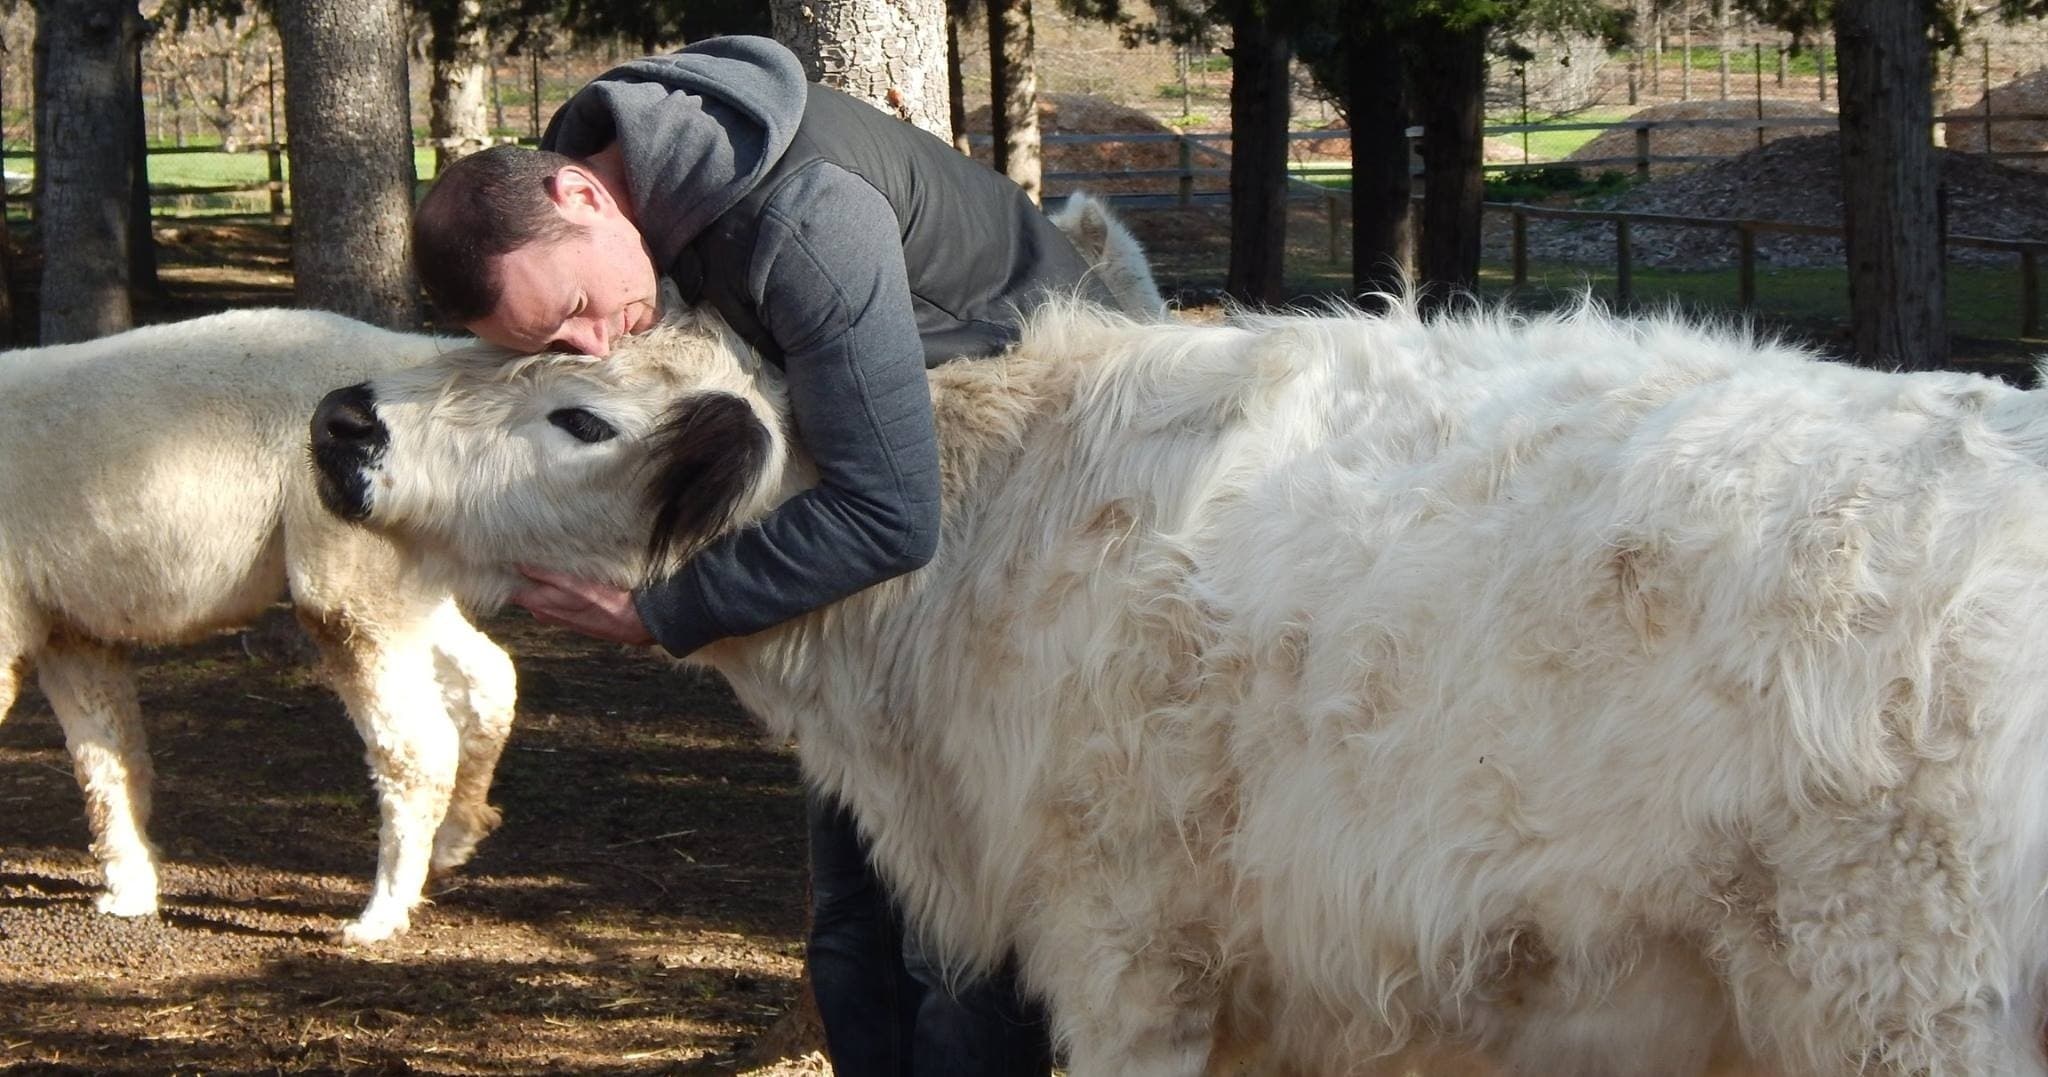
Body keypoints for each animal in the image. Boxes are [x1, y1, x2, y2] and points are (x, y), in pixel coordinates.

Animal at [0, 308, 516, 944]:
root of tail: (417, 356)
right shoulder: (70, 625)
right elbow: (108, 760)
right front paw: (130, 893)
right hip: (405, 573)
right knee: (490, 676)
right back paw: (454, 842)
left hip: (348, 566)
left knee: (419, 744)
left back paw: (379, 917)